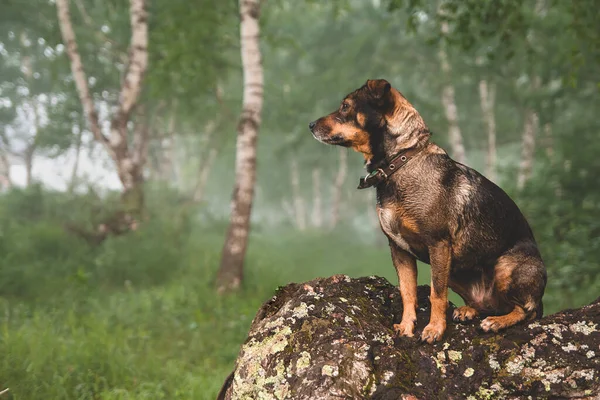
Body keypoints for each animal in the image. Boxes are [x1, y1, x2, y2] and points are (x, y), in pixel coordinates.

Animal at [310, 79, 548, 344]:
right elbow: (408, 293)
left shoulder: (438, 244)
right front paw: (406, 327)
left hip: (503, 267)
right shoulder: (399, 250)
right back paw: (469, 310)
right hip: (455, 270)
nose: (310, 125)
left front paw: (434, 329)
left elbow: (436, 294)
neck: (400, 162)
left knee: (525, 310)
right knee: (489, 304)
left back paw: (496, 322)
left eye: (345, 106)